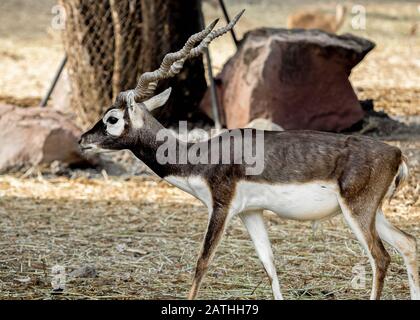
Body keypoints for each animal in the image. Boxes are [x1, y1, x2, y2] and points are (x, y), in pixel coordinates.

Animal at [78, 10, 416, 300]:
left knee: (381, 258)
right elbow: (269, 266)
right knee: (408, 243)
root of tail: (396, 152)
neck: (200, 157)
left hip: (357, 212)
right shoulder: (250, 213)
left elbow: (202, 263)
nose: (82, 140)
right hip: (372, 212)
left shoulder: (221, 207)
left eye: (111, 118)